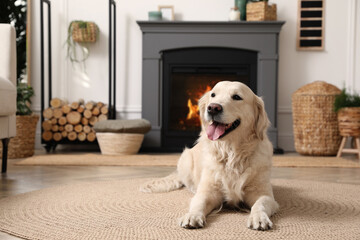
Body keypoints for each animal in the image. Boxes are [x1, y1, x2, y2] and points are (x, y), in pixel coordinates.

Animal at [141, 81, 278, 231]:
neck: (231, 153)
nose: (213, 108)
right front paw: (192, 216)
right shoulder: (208, 191)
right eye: (213, 95)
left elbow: (260, 204)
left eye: (237, 97)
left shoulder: (264, 194)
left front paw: (259, 218)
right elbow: (198, 203)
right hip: (185, 158)